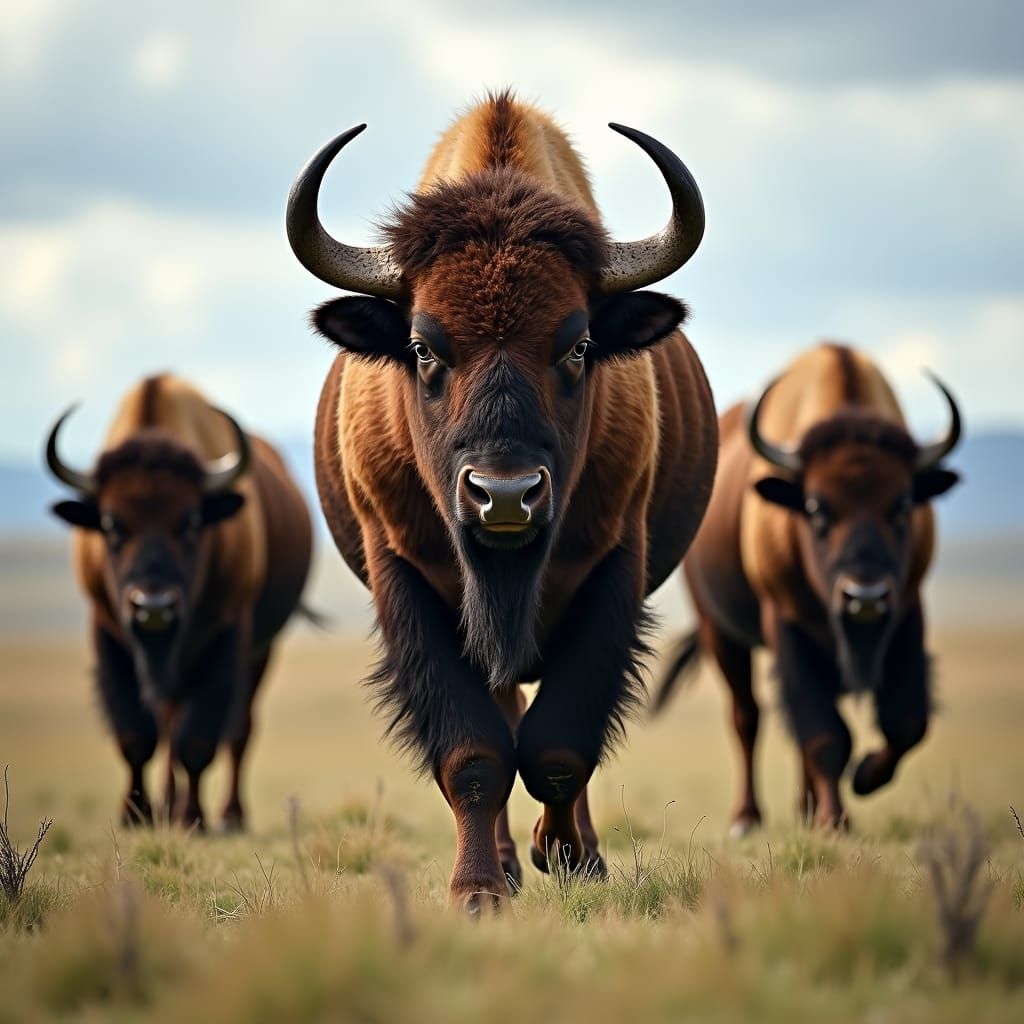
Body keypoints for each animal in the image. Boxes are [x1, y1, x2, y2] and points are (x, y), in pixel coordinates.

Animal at [46, 374, 312, 830]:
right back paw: (168, 805)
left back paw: (230, 814)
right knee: (170, 724)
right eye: (111, 524)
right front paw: (135, 814)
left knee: (238, 729)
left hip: (261, 651)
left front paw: (194, 819)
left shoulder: (227, 635)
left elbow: (199, 740)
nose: (153, 607)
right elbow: (137, 735)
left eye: (190, 522)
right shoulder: (109, 631)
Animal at [287, 92, 717, 908]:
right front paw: (480, 891)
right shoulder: (406, 580)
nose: (506, 496)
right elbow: (476, 753)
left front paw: (572, 860)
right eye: (423, 348)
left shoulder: (614, 569)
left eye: (577, 346)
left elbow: (559, 746)